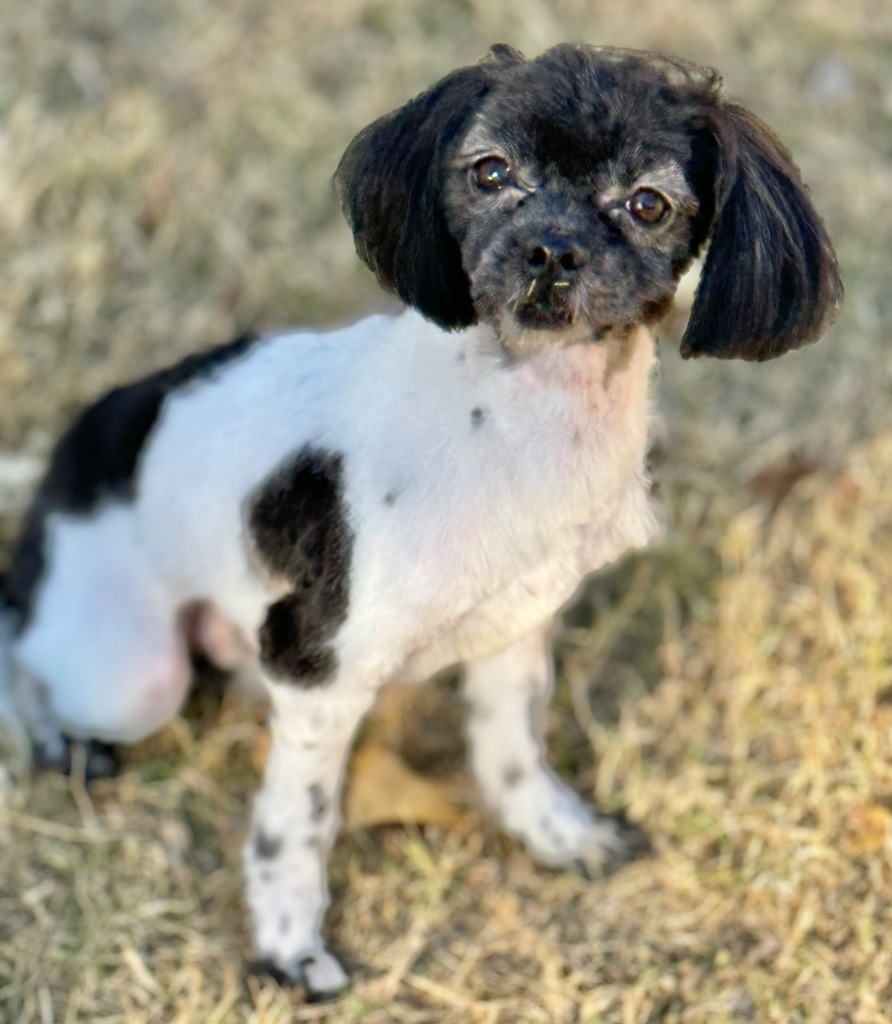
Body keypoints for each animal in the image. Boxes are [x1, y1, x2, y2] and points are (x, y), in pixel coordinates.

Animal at [0, 44, 839, 995]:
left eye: (648, 203)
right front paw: (291, 946)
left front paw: (555, 832)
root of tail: (79, 446)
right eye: (491, 171)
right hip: (128, 674)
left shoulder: (520, 625)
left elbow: (510, 747)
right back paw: (51, 737)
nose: (551, 249)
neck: (517, 422)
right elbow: (296, 823)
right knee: (21, 641)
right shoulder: (318, 668)